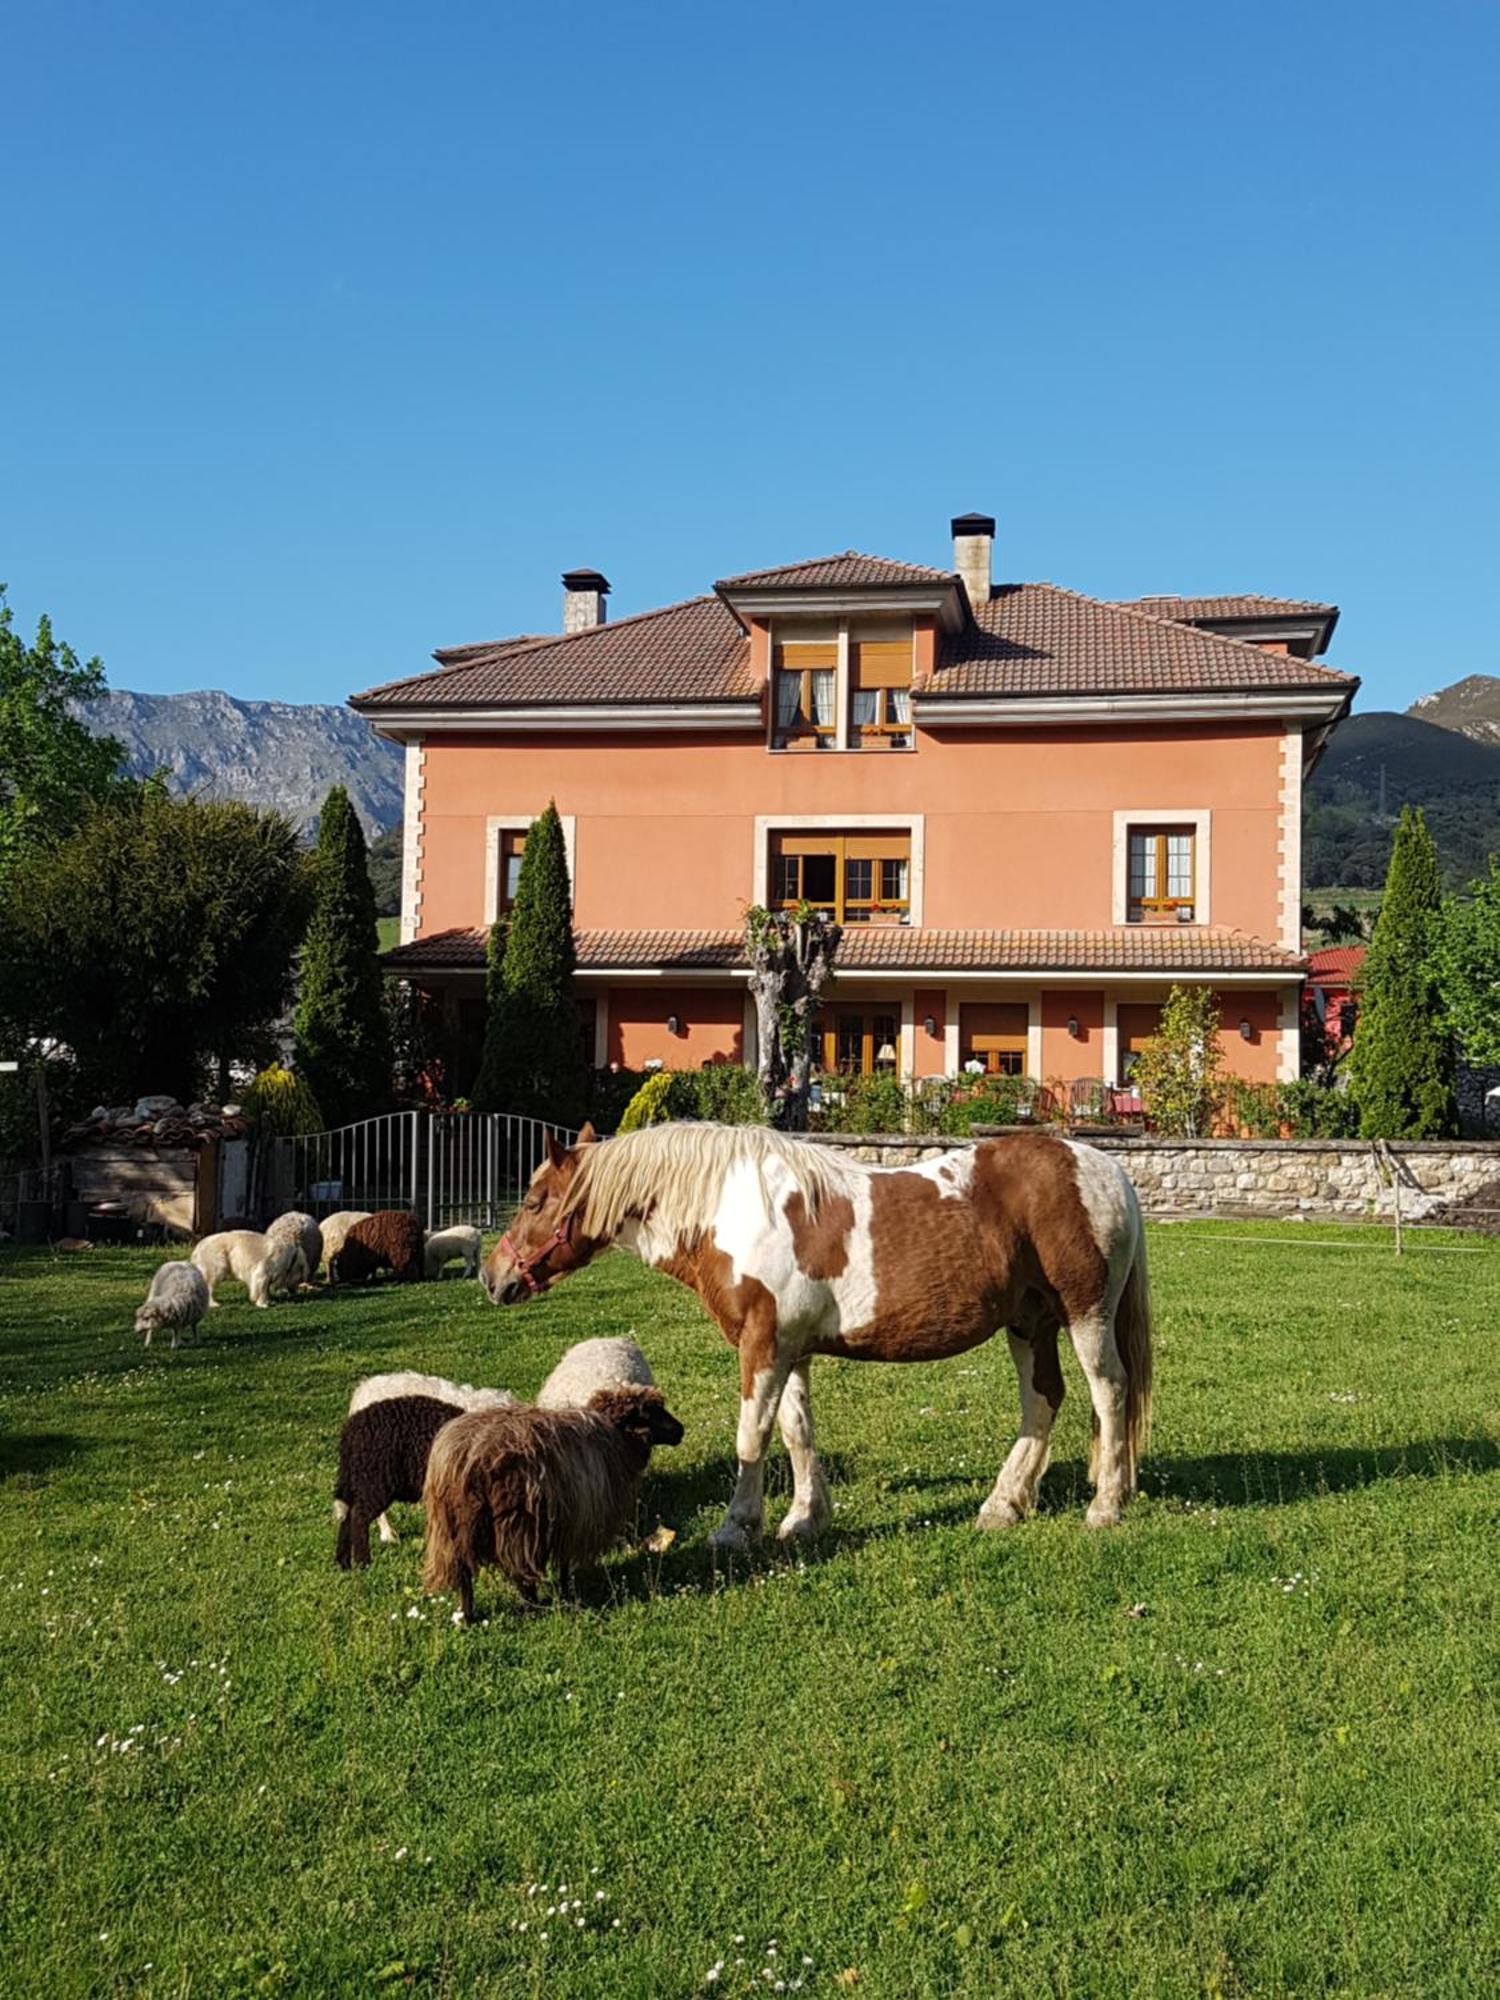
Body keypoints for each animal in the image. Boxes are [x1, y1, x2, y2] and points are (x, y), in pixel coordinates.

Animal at [334, 1400, 464, 1568]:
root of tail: (350, 1431)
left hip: (358, 1481)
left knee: (347, 1516)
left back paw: (343, 1563)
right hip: (375, 1482)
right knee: (358, 1516)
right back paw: (364, 1563)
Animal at [420, 1392, 684, 1624]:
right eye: (651, 1411)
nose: (681, 1430)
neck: (614, 1440)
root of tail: (465, 1455)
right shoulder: (573, 1522)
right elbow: (565, 1565)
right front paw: (566, 1595)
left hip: (452, 1529)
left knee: (464, 1575)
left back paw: (468, 1617)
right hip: (517, 1526)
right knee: (521, 1573)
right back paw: (532, 1607)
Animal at [488, 1128, 1160, 1544]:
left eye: (535, 1200)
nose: (493, 1277)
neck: (737, 1213)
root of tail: (1108, 1170)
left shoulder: (762, 1346)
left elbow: (752, 1435)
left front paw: (737, 1527)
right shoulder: (789, 1348)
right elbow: (796, 1430)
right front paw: (804, 1520)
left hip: (1086, 1316)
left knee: (1109, 1393)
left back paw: (1106, 1503)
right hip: (1027, 1323)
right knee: (1043, 1400)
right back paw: (1005, 1503)